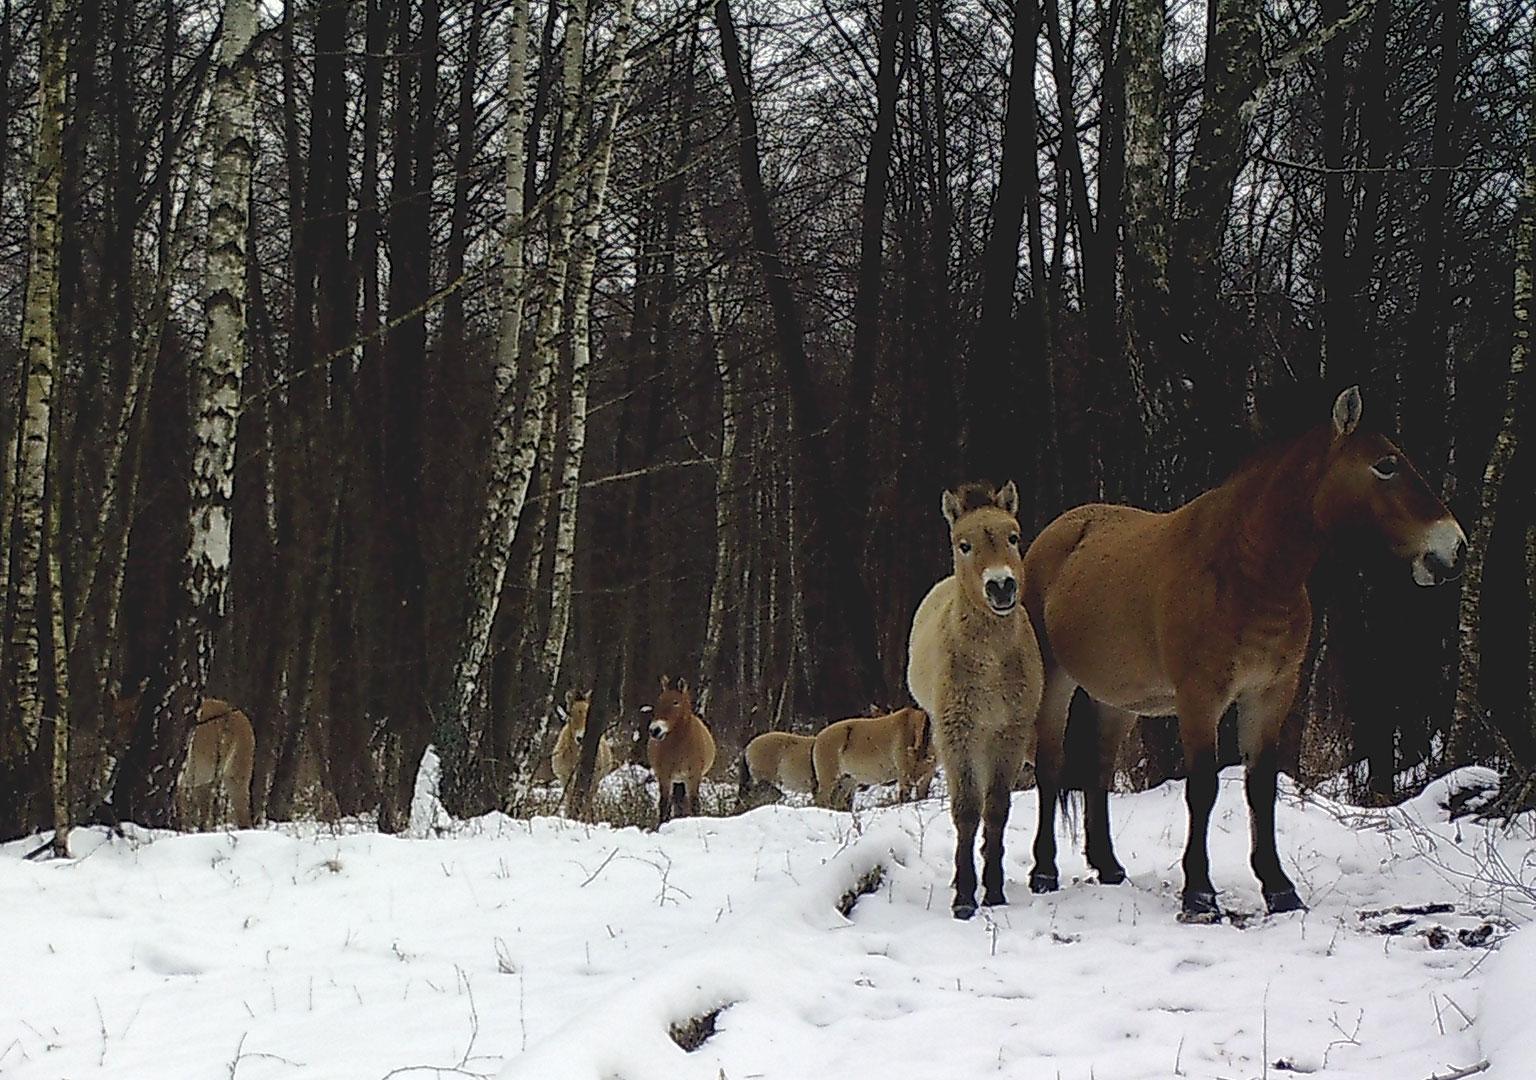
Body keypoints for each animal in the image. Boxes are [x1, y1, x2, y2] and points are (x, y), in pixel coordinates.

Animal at [112, 694, 256, 829]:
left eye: (132, 718)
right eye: (116, 719)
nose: (118, 743)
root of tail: (242, 716)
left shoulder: (178, 783)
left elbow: (179, 816)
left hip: (236, 780)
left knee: (244, 819)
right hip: (205, 783)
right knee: (205, 820)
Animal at [648, 675, 718, 829]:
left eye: (675, 702)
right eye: (659, 700)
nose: (655, 730)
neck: (680, 744)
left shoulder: (694, 776)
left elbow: (694, 803)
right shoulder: (665, 776)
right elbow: (664, 803)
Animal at [903, 482, 1050, 921]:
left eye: (1013, 536)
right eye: (964, 544)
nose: (1001, 586)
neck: (990, 663)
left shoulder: (1009, 735)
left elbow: (996, 809)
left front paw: (995, 889)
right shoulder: (957, 736)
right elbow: (967, 811)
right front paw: (965, 896)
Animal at [1019, 388, 1462, 921]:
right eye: (1387, 465)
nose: (1454, 548)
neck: (1245, 569)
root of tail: (1059, 533)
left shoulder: (1270, 694)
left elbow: (1261, 787)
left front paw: (1278, 888)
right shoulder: (1200, 699)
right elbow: (1202, 789)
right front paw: (1199, 893)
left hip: (1116, 702)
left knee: (1098, 773)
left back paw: (1107, 866)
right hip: (1056, 682)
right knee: (1049, 768)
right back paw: (1044, 872)